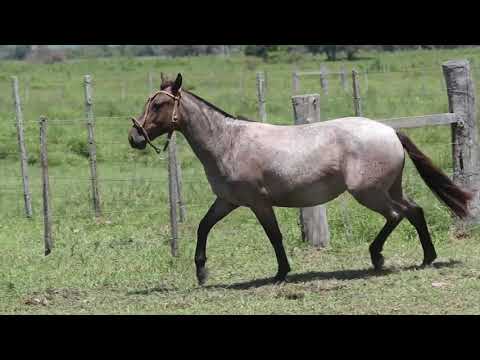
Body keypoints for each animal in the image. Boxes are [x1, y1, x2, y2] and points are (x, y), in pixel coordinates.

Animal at [127, 74, 472, 286]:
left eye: (159, 104)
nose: (134, 137)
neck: (228, 143)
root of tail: (389, 131)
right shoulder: (227, 201)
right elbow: (203, 227)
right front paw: (201, 272)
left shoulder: (257, 203)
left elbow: (274, 236)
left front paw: (281, 273)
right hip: (388, 188)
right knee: (414, 211)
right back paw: (427, 258)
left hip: (369, 192)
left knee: (397, 214)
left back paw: (378, 257)